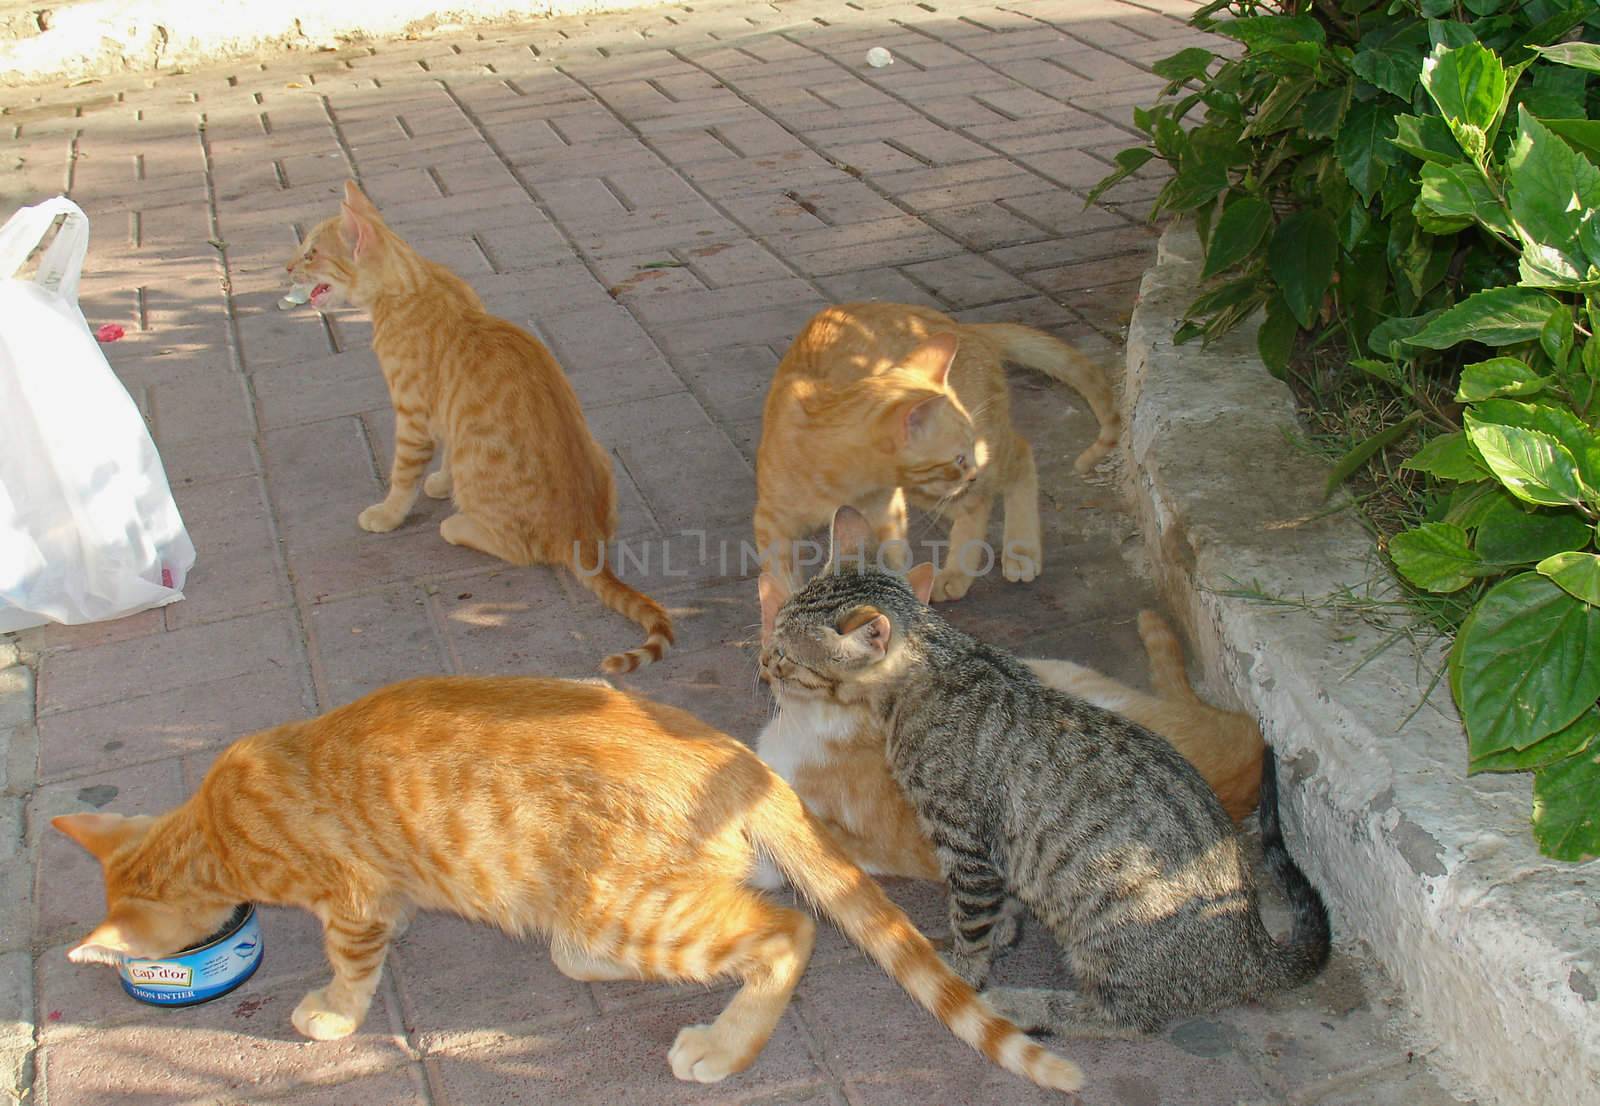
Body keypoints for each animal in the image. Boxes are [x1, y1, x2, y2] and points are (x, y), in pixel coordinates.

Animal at [62, 678, 1088, 1094]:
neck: (212, 821)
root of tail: (747, 765)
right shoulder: (375, 887)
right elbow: (388, 921)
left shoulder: (344, 898)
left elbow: (352, 964)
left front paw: (333, 1011)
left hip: (632, 904)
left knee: (785, 932)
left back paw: (724, 1046)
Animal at [291, 181, 672, 675]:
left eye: (311, 254)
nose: (286, 269)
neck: (413, 281)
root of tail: (580, 537)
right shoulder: (445, 413)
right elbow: (447, 449)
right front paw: (439, 480)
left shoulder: (412, 415)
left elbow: (402, 474)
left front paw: (389, 513)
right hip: (600, 454)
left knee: (519, 549)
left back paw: (458, 525)